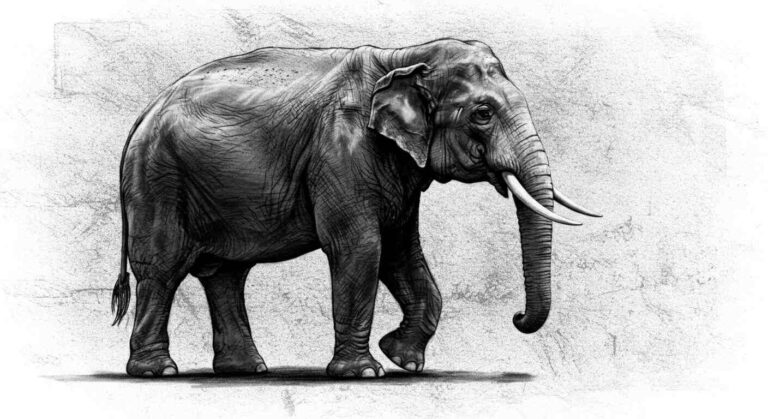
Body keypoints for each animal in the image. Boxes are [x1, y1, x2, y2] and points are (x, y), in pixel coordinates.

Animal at [111, 38, 600, 378]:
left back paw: (246, 369)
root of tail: (143, 113)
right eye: (482, 113)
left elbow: (402, 251)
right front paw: (366, 371)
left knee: (226, 273)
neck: (405, 56)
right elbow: (361, 248)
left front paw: (403, 359)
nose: (516, 317)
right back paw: (159, 371)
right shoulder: (341, 151)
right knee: (162, 268)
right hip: (158, 179)